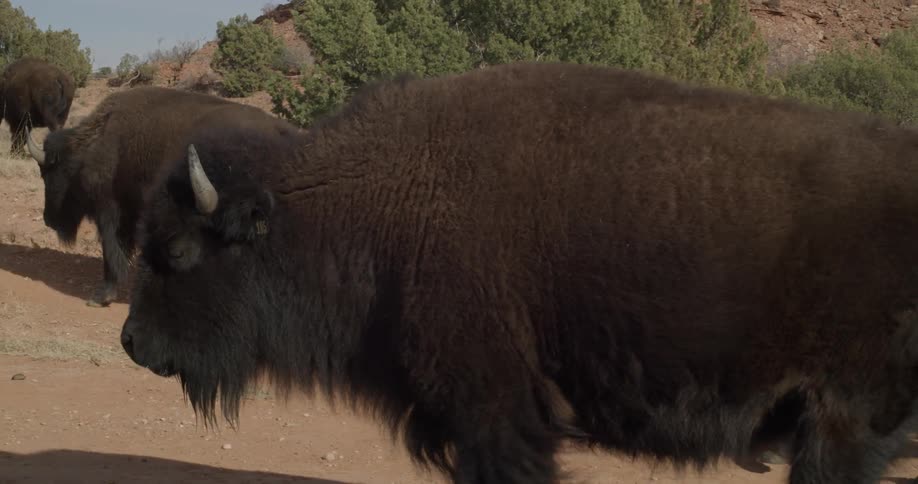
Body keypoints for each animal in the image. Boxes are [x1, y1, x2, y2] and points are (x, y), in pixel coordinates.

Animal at [25, 86, 298, 307]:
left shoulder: (111, 212)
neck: (95, 142)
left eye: (49, 174)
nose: (49, 219)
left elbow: (112, 252)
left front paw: (100, 297)